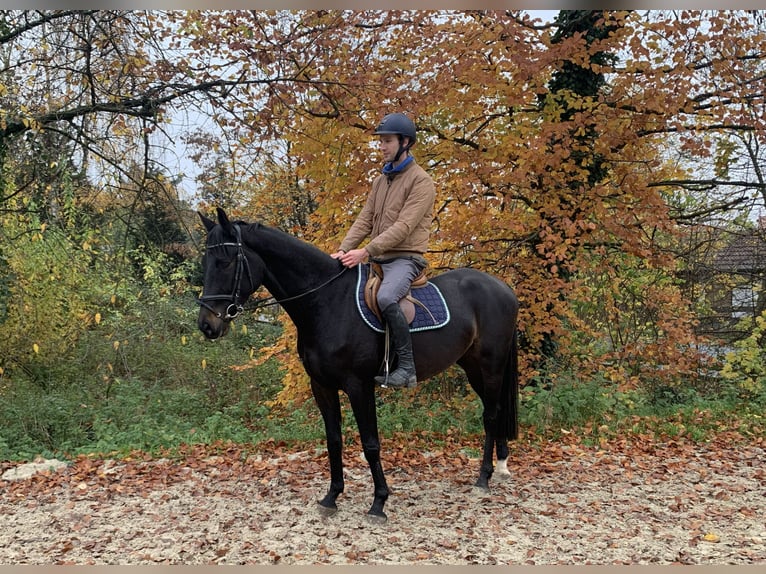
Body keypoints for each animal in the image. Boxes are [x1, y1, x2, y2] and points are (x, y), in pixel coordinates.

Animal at [196, 207, 520, 521]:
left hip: (491, 365)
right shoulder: (322, 386)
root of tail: (504, 288)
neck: (327, 301)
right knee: (494, 409)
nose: (207, 325)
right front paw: (331, 497)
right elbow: (334, 439)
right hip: (473, 367)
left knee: (491, 415)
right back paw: (500, 465)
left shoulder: (359, 386)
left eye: (225, 262)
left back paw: (484, 478)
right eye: (206, 261)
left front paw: (379, 503)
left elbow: (370, 443)